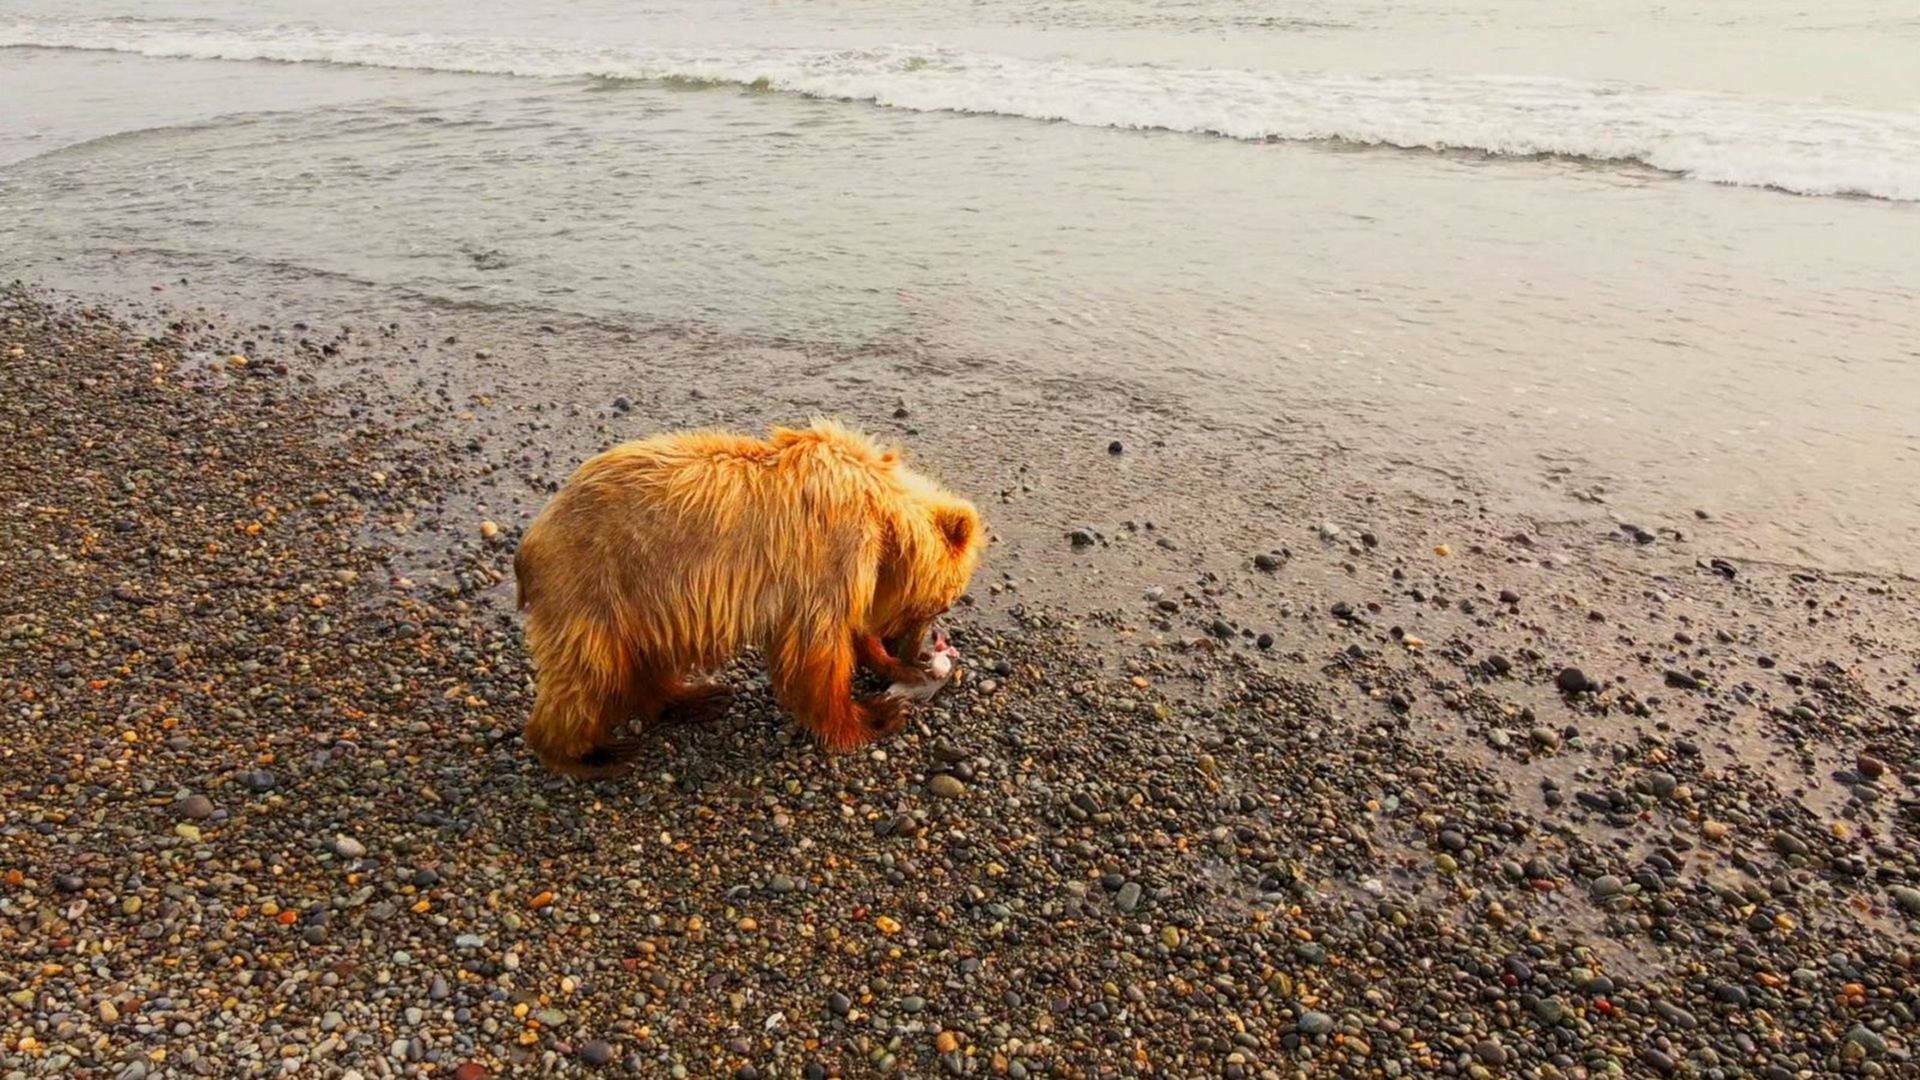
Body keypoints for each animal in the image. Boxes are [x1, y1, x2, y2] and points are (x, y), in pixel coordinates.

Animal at [514, 413, 983, 772]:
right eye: (941, 603)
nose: (922, 651)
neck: (883, 515)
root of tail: (530, 540)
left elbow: (849, 631)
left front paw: (893, 668)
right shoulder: (829, 556)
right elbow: (817, 654)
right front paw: (874, 715)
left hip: (647, 602)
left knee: (645, 658)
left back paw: (693, 697)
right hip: (596, 584)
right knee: (589, 673)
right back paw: (589, 754)